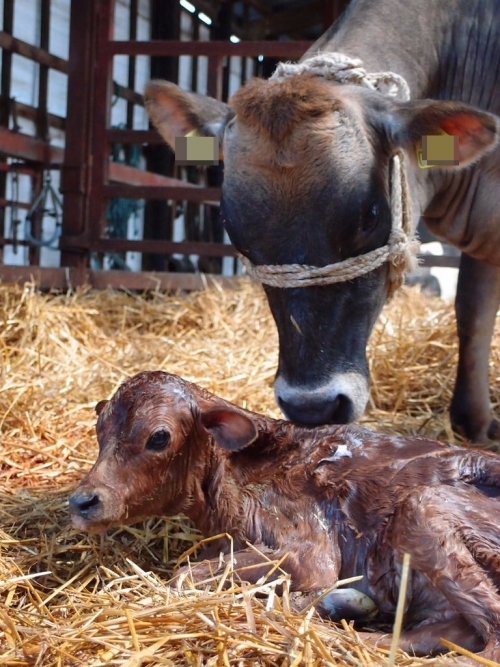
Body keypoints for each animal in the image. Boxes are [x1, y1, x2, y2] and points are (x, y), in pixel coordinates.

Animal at [69, 374, 500, 660]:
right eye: (100, 430)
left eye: (159, 437)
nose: (82, 501)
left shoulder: (310, 551)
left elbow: (185, 576)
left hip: (424, 507)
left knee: (489, 642)